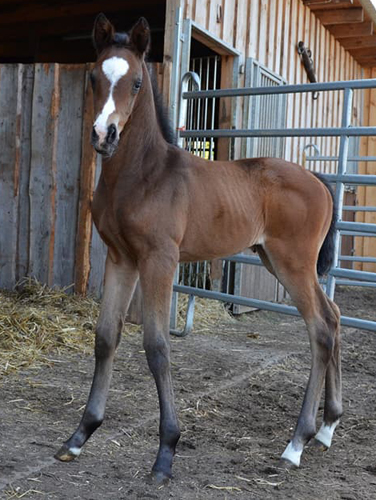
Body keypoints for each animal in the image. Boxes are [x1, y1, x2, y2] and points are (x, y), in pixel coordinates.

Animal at [54, 16, 342, 484]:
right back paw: (328, 428)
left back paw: (296, 444)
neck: (143, 175)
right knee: (333, 318)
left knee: (320, 328)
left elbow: (156, 346)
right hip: (276, 259)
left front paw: (165, 453)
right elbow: (106, 337)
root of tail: (318, 179)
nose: (103, 135)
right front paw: (79, 436)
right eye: (95, 76)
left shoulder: (159, 260)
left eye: (137, 82)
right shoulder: (121, 258)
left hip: (293, 263)